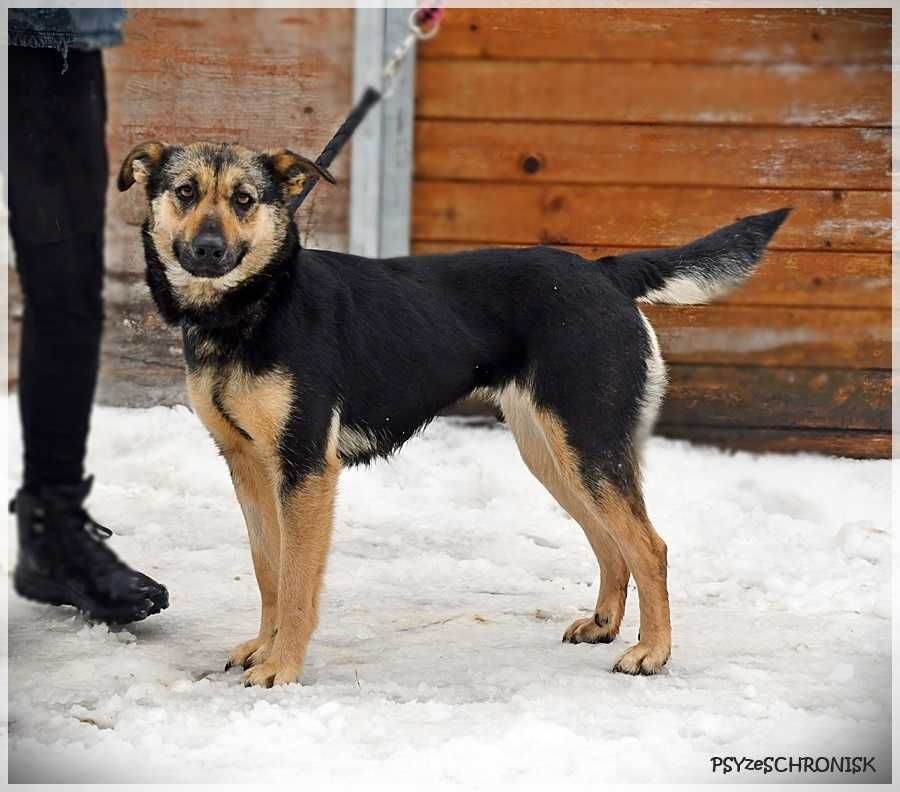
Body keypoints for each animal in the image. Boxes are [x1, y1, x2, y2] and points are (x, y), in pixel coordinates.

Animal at [118, 141, 788, 688]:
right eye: (185, 192)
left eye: (245, 199)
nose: (209, 250)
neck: (251, 308)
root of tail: (604, 273)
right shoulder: (249, 465)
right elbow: (268, 571)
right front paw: (263, 647)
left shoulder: (306, 468)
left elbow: (298, 582)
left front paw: (282, 666)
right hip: (553, 454)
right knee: (610, 540)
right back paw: (604, 625)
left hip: (587, 447)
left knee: (651, 547)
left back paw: (652, 653)